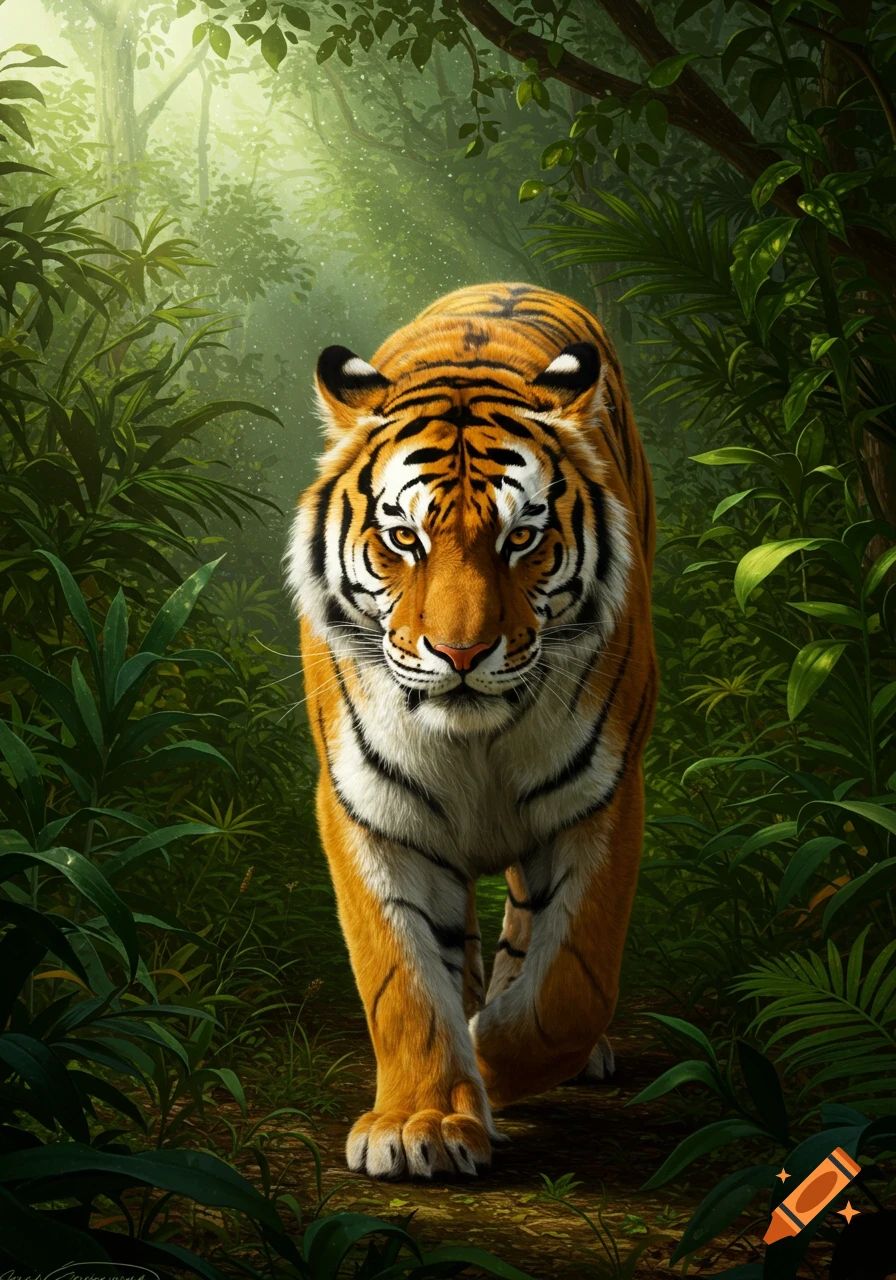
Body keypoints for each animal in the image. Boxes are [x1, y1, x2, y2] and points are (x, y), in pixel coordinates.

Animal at [285, 283, 657, 1180]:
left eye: (520, 537)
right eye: (403, 539)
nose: (459, 652)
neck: (474, 737)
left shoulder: (602, 799)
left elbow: (570, 987)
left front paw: (492, 1054)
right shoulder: (369, 806)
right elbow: (402, 978)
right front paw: (420, 1122)